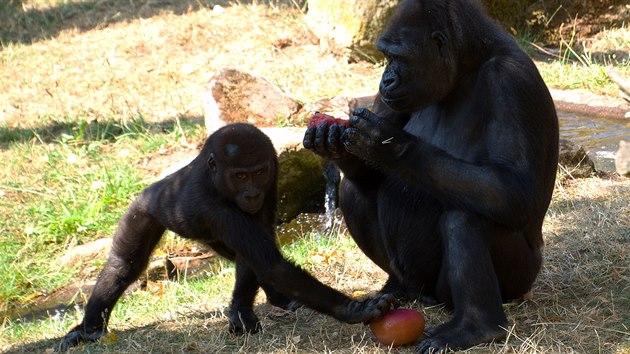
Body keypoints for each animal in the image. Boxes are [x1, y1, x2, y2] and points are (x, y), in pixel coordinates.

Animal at [304, 0, 560, 352]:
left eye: (398, 57)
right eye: (386, 57)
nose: (385, 79)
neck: (468, 65)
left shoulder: (510, 79)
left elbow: (514, 189)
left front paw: (393, 146)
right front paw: (332, 140)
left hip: (521, 280)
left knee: (466, 217)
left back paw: (477, 326)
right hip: (418, 282)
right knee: (353, 192)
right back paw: (398, 288)